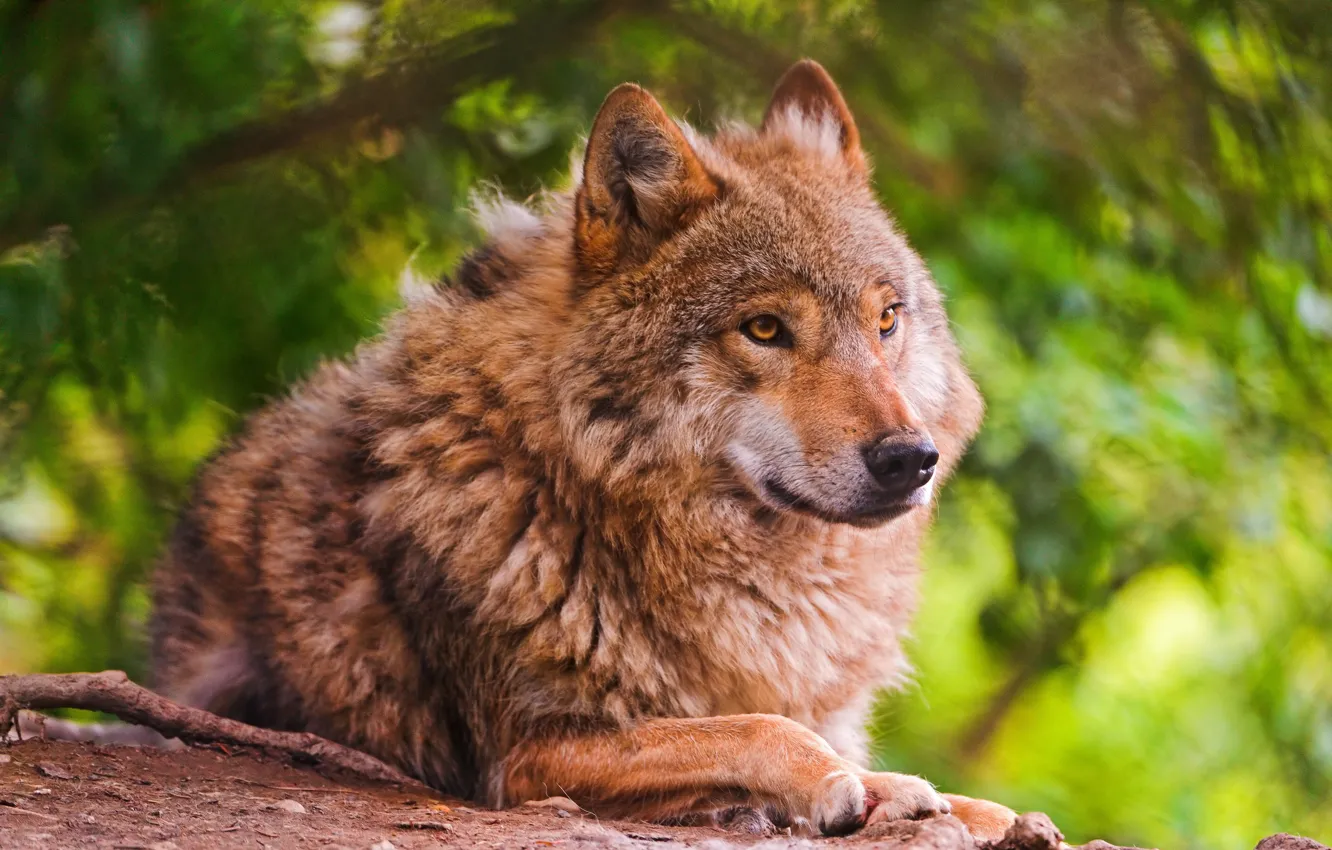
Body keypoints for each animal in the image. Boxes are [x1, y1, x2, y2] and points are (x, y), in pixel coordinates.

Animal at [149, 60, 1014, 839]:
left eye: (886, 319)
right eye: (765, 328)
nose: (910, 458)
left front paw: (953, 804)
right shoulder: (527, 754)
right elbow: (754, 727)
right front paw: (843, 790)